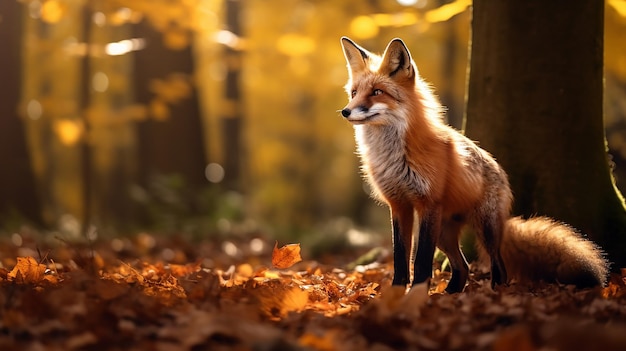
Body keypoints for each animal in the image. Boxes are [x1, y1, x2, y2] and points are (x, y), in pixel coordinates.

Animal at [338, 37, 608, 292]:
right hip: (444, 234)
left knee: (499, 267)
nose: (345, 112)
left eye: (376, 92)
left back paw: (494, 293)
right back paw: (451, 294)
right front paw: (395, 296)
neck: (394, 156)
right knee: (464, 266)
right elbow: (400, 259)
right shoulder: (399, 205)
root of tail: (499, 168)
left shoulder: (428, 204)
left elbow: (422, 261)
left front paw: (416, 297)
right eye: (354, 93)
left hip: (483, 229)